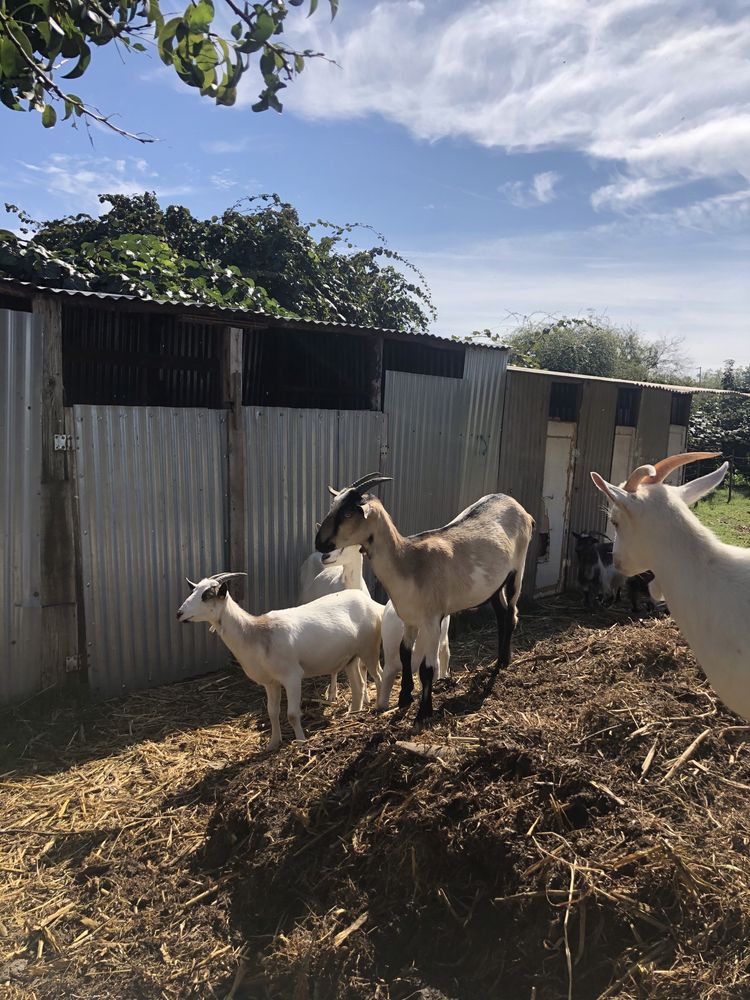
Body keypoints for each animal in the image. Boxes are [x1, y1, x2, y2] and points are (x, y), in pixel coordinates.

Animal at [176, 572, 382, 752]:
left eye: (207, 595)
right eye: (193, 590)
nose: (179, 613)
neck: (255, 633)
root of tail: (370, 602)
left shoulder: (292, 677)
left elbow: (292, 715)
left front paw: (301, 742)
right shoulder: (270, 682)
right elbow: (272, 712)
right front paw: (273, 743)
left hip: (369, 649)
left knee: (378, 677)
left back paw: (379, 707)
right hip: (351, 657)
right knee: (358, 685)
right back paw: (353, 714)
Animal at [314, 472, 536, 724]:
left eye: (348, 513)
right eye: (333, 506)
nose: (319, 543)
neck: (408, 561)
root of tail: (519, 507)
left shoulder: (432, 620)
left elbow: (427, 668)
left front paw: (423, 712)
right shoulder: (410, 619)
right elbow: (405, 654)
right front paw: (404, 697)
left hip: (517, 569)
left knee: (510, 615)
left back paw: (503, 663)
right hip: (493, 584)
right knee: (501, 613)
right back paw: (500, 659)